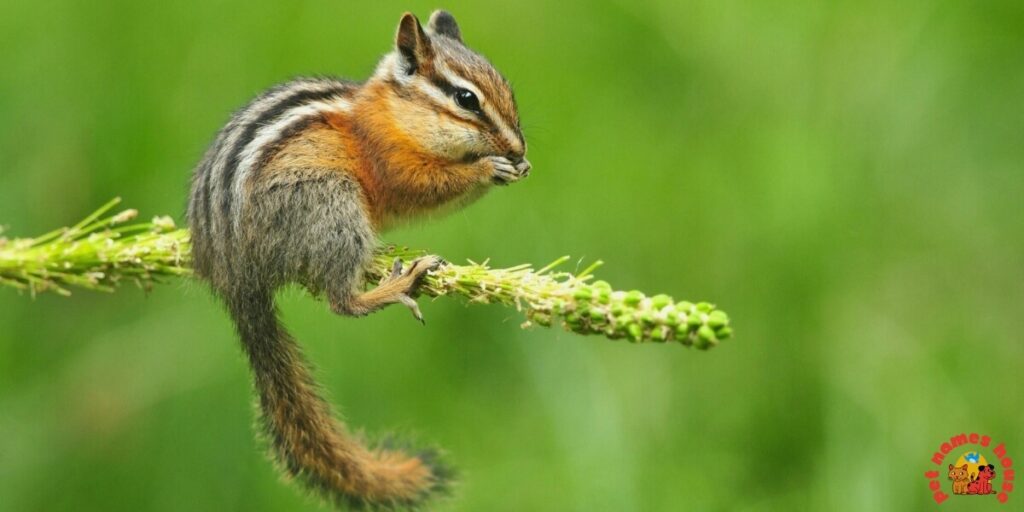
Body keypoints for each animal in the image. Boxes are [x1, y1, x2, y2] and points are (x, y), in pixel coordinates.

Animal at [186, 10, 529, 510]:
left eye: (508, 89)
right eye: (466, 99)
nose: (519, 150)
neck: (392, 117)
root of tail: (234, 275)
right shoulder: (390, 161)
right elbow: (421, 187)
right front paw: (488, 168)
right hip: (331, 205)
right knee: (342, 302)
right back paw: (398, 285)